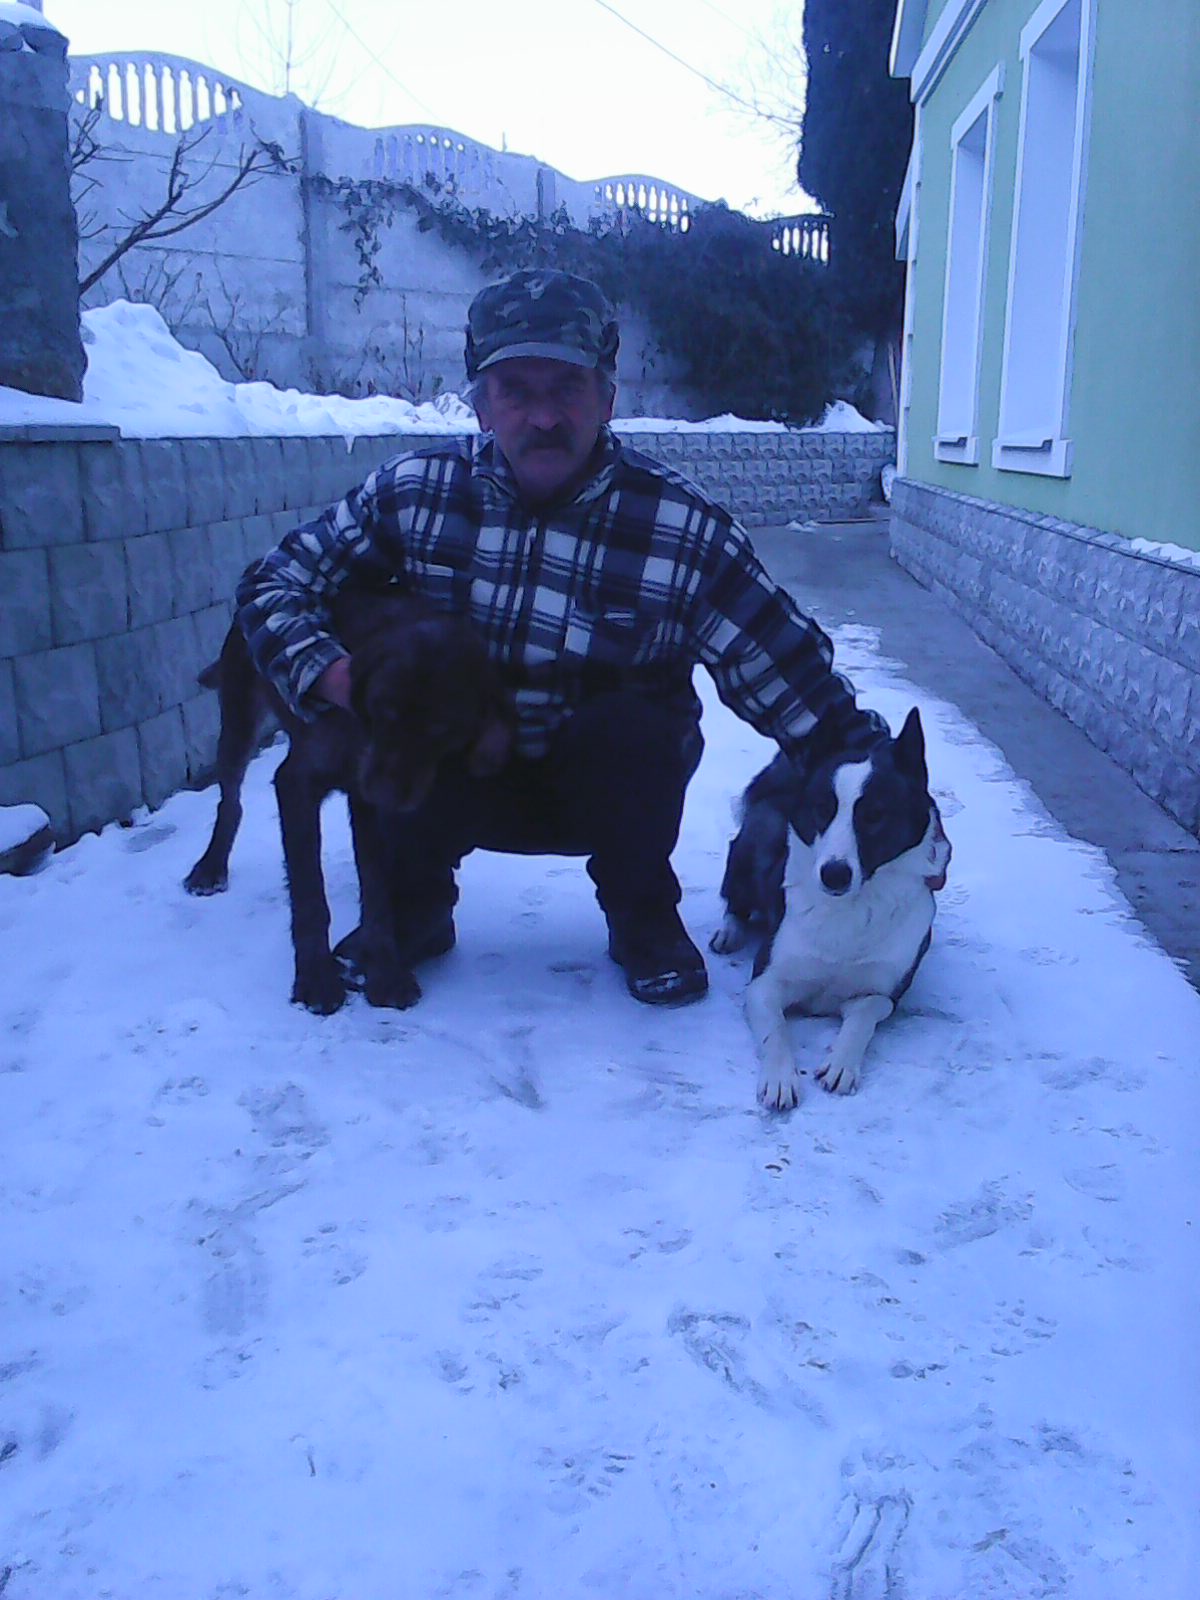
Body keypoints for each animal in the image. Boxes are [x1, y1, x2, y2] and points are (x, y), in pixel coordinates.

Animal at [184, 587, 511, 1015]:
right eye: (383, 708)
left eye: (442, 729)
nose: (387, 790)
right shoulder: (297, 784)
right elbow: (310, 895)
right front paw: (315, 979)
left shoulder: (367, 806)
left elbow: (376, 891)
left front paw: (386, 973)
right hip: (238, 716)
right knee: (230, 800)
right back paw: (210, 867)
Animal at [711, 707, 951, 1111]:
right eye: (823, 810)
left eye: (874, 816)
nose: (834, 874)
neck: (850, 908)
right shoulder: (765, 982)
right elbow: (776, 1031)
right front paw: (780, 1078)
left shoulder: (882, 994)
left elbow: (862, 1020)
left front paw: (841, 1064)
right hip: (758, 838)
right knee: (735, 897)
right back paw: (729, 931)